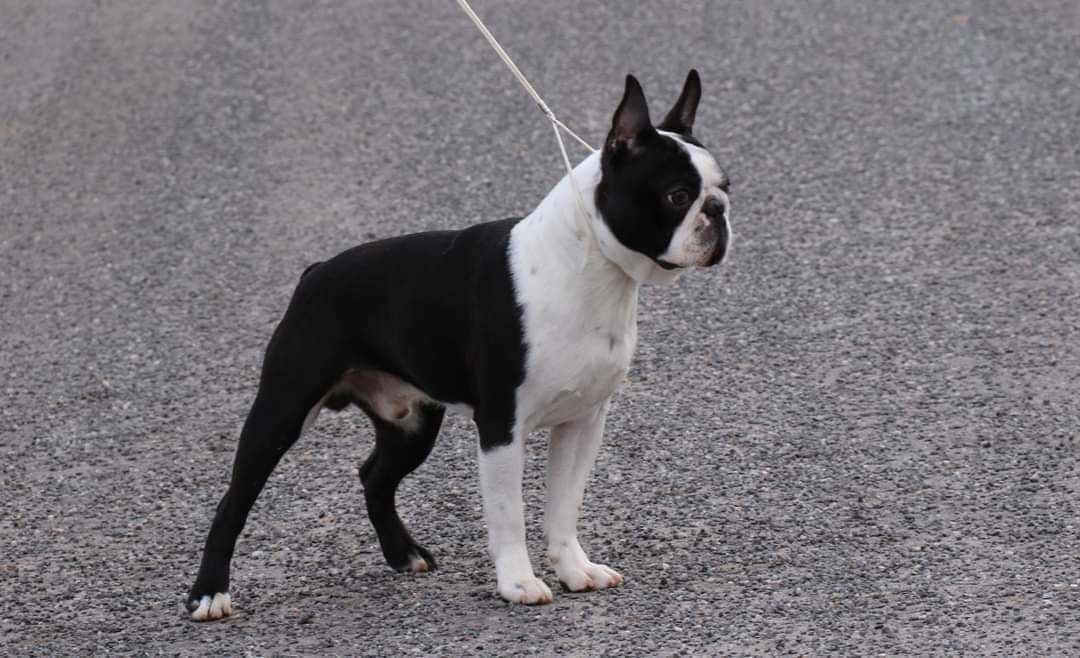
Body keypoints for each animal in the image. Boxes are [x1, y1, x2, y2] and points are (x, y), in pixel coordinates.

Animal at [187, 70, 730, 620]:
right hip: (284, 409)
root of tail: (314, 272)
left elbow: (564, 505)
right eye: (677, 196)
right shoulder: (501, 426)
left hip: (413, 424)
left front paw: (576, 570)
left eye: (725, 188)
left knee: (374, 477)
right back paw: (209, 593)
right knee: (234, 501)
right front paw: (518, 583)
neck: (594, 270)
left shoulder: (583, 421)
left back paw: (403, 554)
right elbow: (510, 512)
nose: (718, 211)